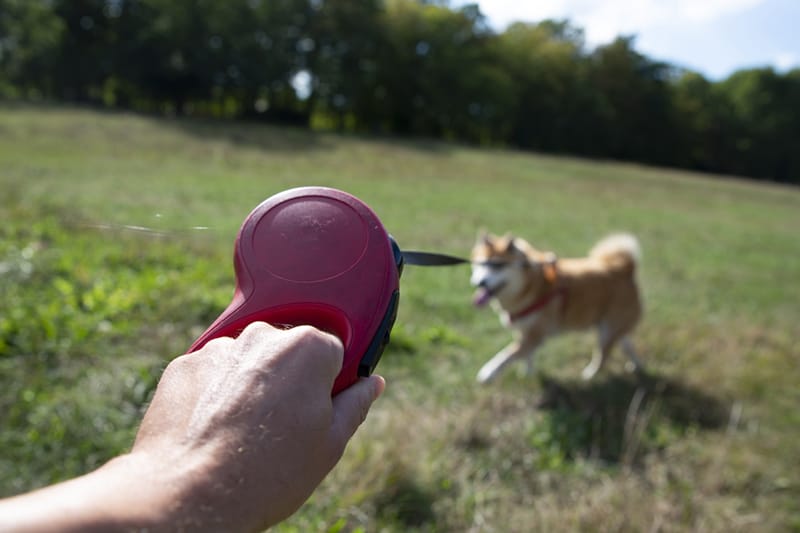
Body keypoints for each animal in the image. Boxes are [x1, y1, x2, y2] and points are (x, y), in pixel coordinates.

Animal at [468, 230, 644, 382]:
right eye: (480, 264)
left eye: (497, 265)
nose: (480, 283)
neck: (529, 286)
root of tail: (625, 269)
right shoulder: (525, 332)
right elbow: (526, 355)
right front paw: (527, 373)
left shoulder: (535, 334)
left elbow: (508, 354)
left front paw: (488, 373)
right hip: (613, 326)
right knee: (627, 344)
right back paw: (637, 366)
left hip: (607, 330)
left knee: (604, 356)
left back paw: (590, 375)